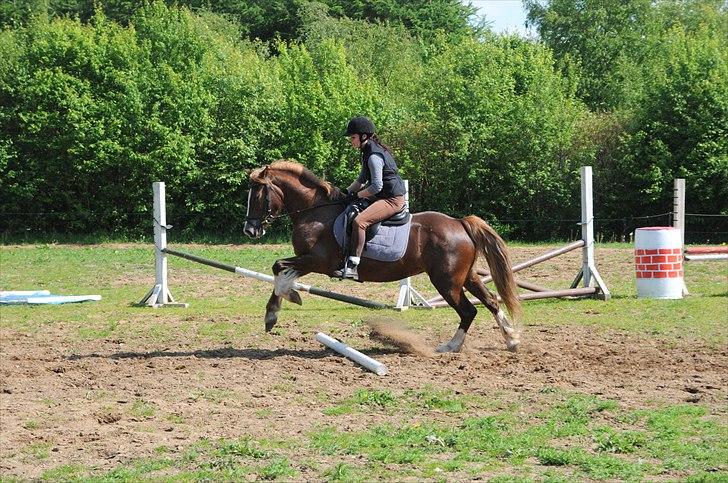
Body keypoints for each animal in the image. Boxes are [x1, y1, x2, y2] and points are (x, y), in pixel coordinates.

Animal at [245, 161, 524, 354]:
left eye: (257, 195)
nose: (250, 230)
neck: (315, 213)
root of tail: (460, 223)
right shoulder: (308, 260)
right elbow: (284, 272)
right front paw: (287, 299)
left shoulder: (317, 261)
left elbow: (279, 268)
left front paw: (275, 311)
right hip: (466, 276)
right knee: (491, 301)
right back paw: (511, 339)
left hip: (447, 281)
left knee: (468, 311)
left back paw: (450, 347)